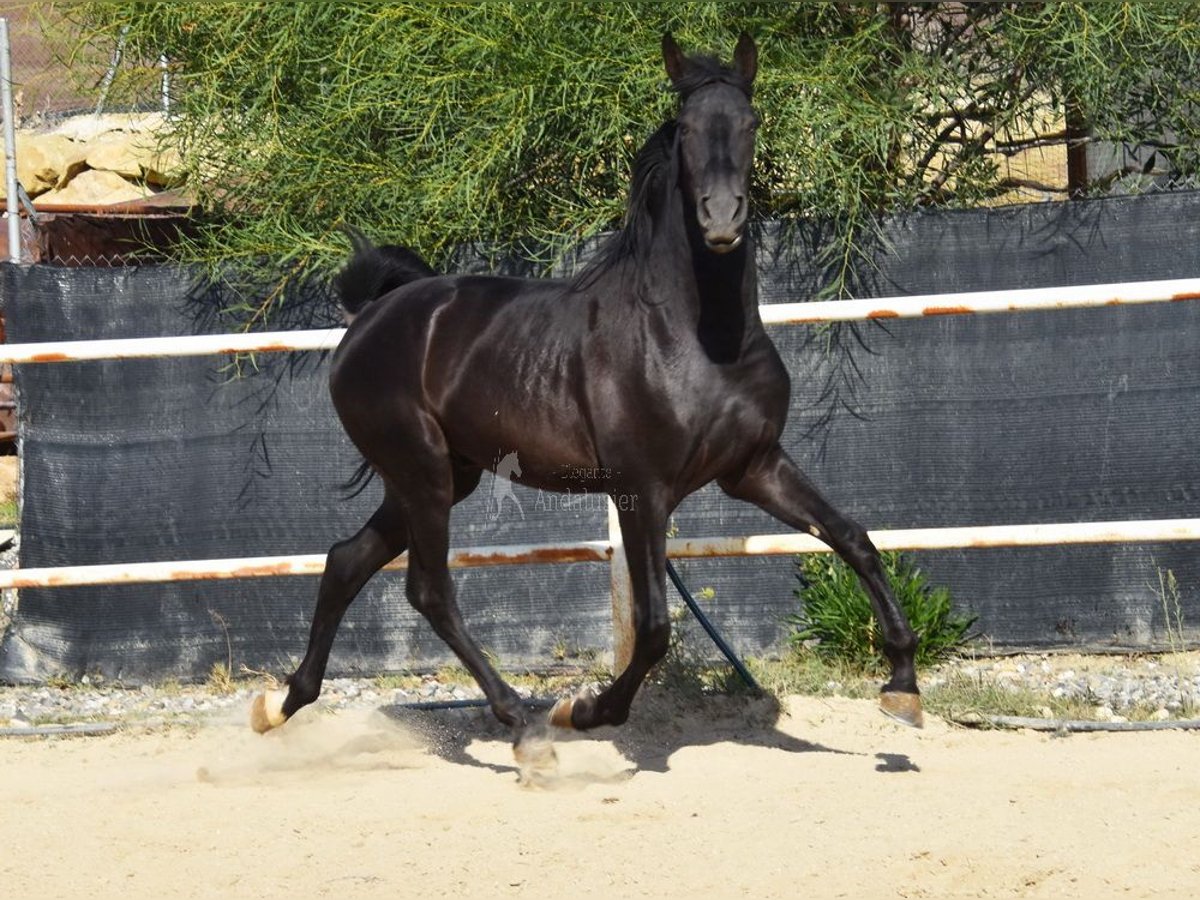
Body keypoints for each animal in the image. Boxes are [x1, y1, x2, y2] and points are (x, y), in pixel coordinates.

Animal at [253, 33, 921, 748]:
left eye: (751, 122)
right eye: (686, 128)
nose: (721, 219)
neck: (700, 339)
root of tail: (370, 317)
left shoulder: (754, 466)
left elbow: (853, 538)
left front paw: (902, 688)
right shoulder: (641, 490)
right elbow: (653, 629)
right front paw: (587, 711)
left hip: (440, 475)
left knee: (345, 561)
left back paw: (283, 704)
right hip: (421, 471)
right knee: (428, 590)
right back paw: (521, 716)